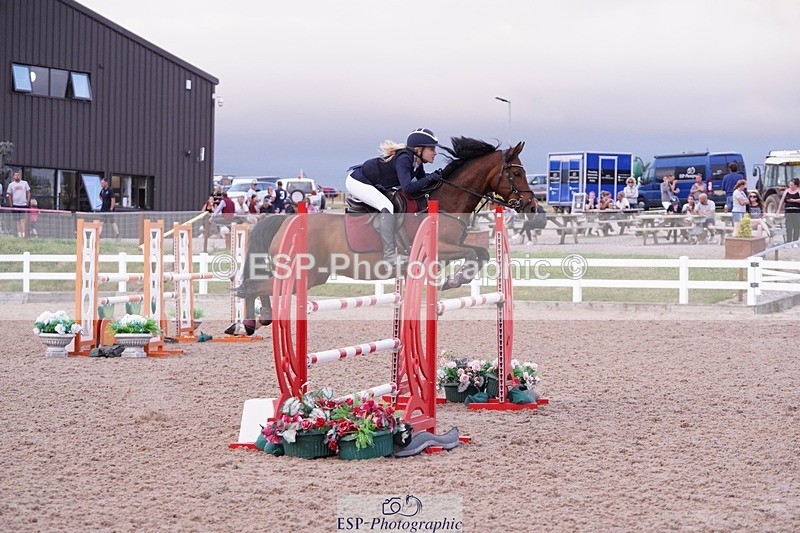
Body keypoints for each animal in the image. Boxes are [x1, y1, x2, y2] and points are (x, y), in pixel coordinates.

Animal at [230, 137, 533, 333]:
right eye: (517, 173)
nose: (531, 205)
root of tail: (286, 221)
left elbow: (481, 253)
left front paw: (456, 279)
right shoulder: (439, 247)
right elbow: (472, 252)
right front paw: (455, 280)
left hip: (314, 275)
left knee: (260, 284)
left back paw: (259, 317)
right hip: (305, 274)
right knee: (255, 286)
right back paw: (249, 321)